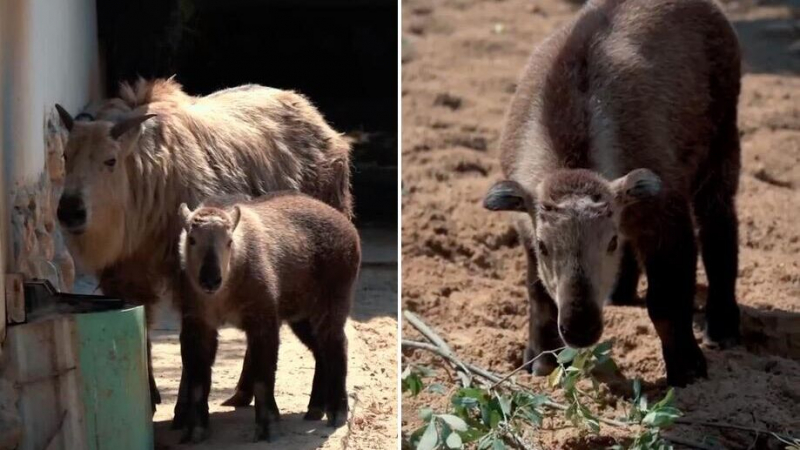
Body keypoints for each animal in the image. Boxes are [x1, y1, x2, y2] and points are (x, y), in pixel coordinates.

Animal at [179, 192, 362, 442]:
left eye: (229, 241)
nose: (210, 280)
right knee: (320, 351)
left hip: (331, 305)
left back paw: (337, 410)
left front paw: (268, 426)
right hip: (301, 317)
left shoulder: (263, 322)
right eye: (192, 239)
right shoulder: (197, 325)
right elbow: (198, 381)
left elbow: (263, 377)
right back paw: (315, 407)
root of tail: (347, 224)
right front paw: (195, 429)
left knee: (336, 346)